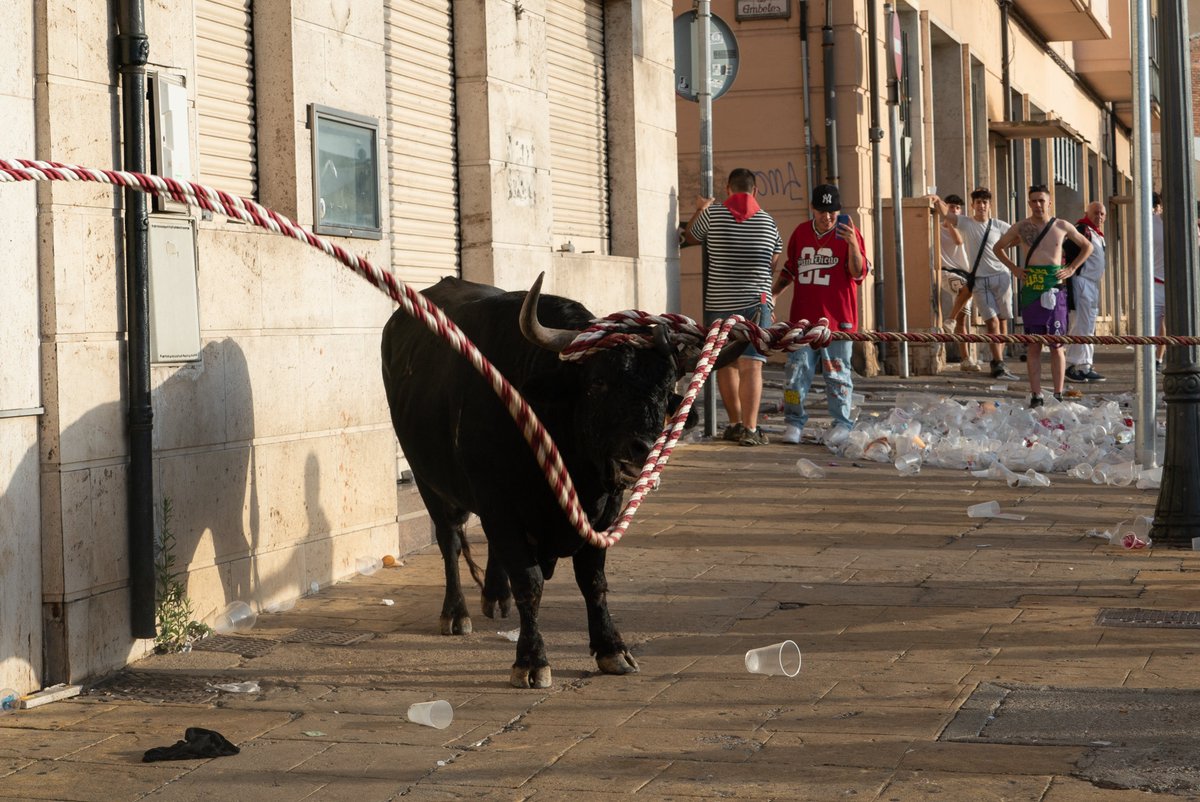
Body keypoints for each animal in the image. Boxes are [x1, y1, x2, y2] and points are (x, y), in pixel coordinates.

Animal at [384, 277, 739, 691]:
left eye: (668, 389)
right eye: (598, 382)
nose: (644, 449)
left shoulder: (603, 512)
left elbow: (593, 580)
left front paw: (611, 648)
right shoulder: (499, 506)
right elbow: (530, 582)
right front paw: (531, 661)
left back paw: (496, 597)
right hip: (429, 481)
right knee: (451, 539)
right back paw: (456, 614)